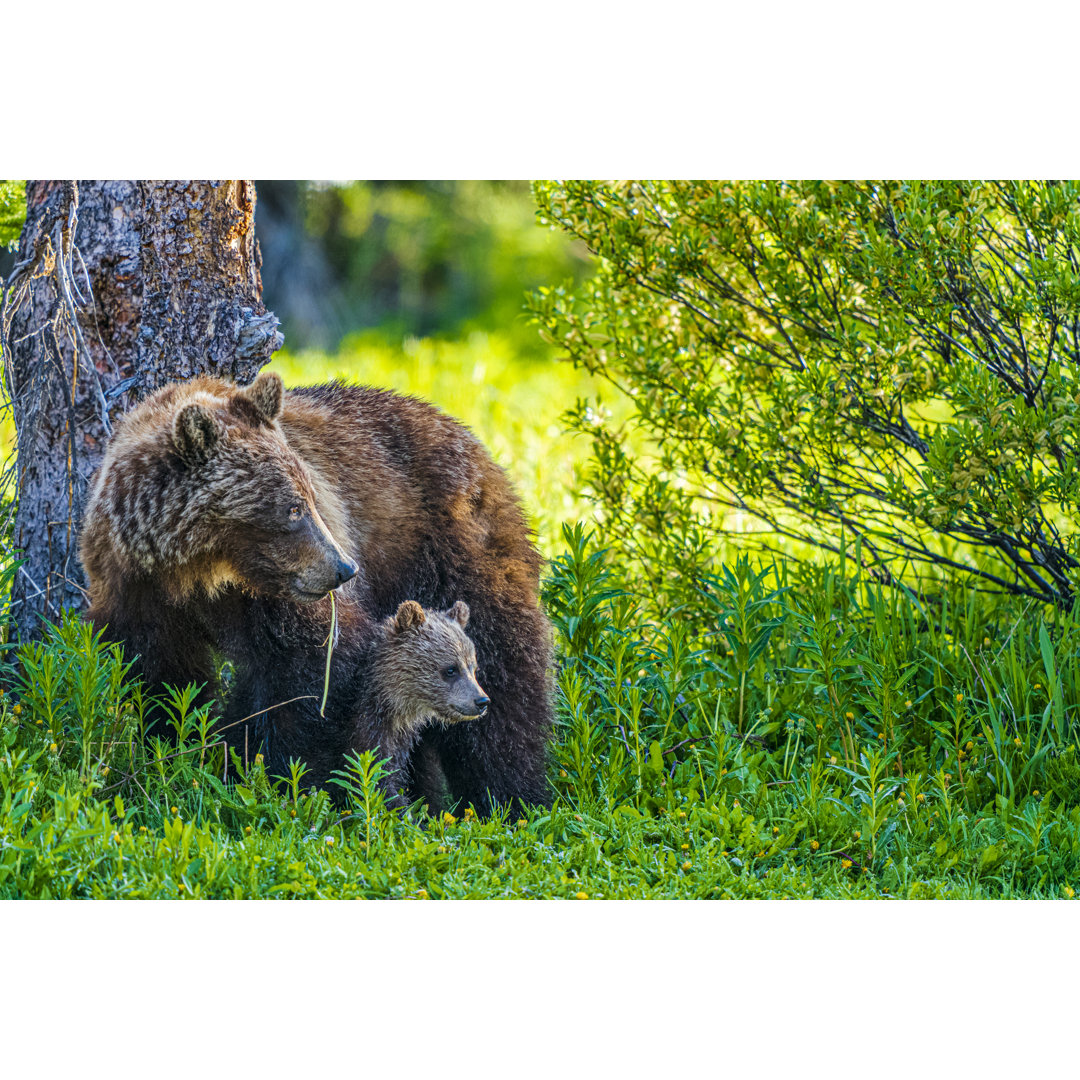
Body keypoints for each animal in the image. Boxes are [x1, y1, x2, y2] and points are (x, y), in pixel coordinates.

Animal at [79, 369, 552, 812]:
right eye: (292, 509)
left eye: (309, 496)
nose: (344, 568)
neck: (197, 572)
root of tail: (469, 438)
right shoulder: (137, 592)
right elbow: (163, 680)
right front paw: (179, 747)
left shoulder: (276, 599)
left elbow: (316, 671)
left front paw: (298, 779)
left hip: (448, 548)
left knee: (504, 671)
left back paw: (511, 797)